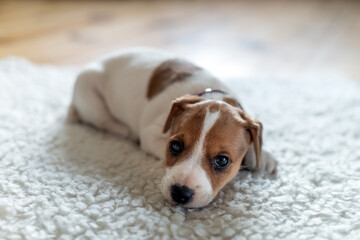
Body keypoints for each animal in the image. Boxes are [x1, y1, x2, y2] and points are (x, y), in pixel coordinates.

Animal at [67, 47, 276, 208]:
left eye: (222, 160)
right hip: (90, 97)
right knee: (106, 122)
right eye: (175, 146)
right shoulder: (151, 134)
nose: (180, 193)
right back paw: (127, 131)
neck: (213, 95)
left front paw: (264, 156)